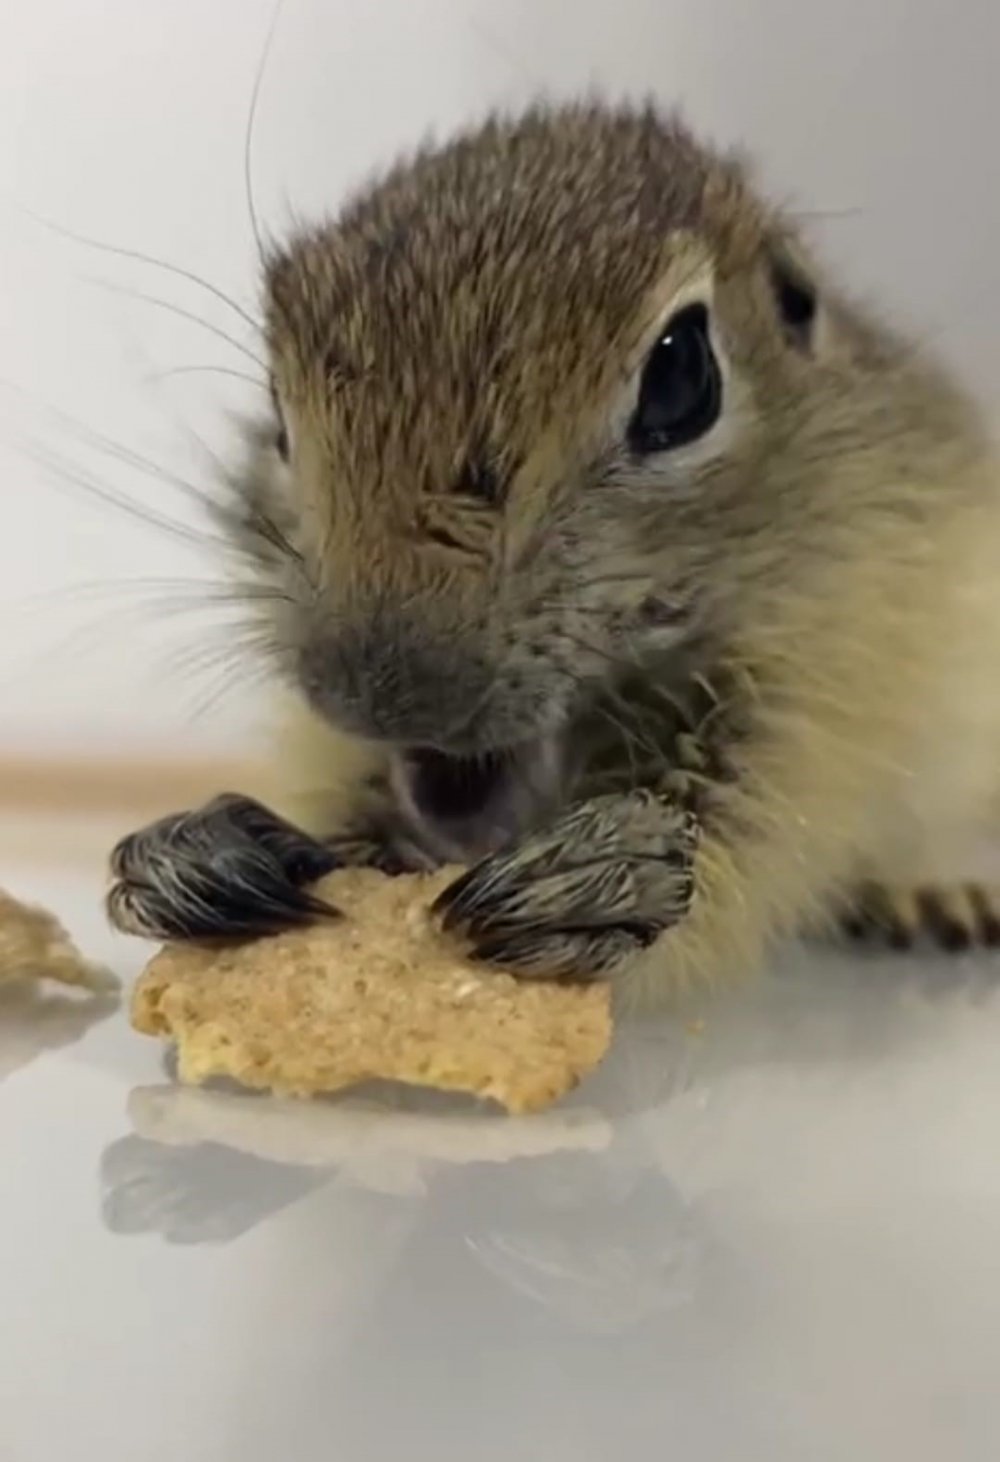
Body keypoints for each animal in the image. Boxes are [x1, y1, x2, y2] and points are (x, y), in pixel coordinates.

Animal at [107, 100, 1000, 994]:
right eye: (276, 418)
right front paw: (199, 851)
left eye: (682, 377)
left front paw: (614, 873)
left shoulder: (827, 670)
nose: (375, 699)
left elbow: (751, 828)